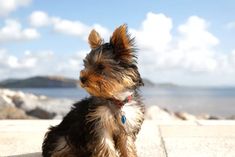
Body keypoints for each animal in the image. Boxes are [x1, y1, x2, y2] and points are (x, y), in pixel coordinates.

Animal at [42, 24, 145, 157]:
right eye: (86, 65)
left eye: (101, 66)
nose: (82, 78)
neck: (116, 99)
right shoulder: (99, 123)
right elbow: (106, 146)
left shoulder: (127, 124)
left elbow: (127, 146)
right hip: (62, 136)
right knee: (59, 147)